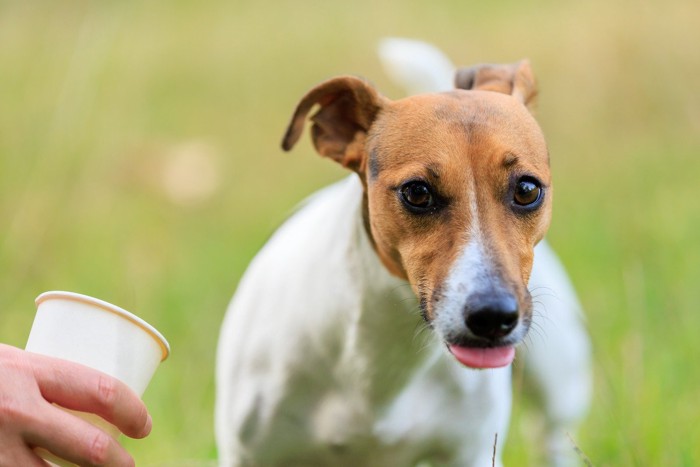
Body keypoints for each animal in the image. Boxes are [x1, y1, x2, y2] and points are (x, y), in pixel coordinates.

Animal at [215, 38, 592, 466]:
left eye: (527, 189)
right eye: (417, 192)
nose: (494, 317)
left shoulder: (469, 451)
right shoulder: (248, 452)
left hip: (558, 387)